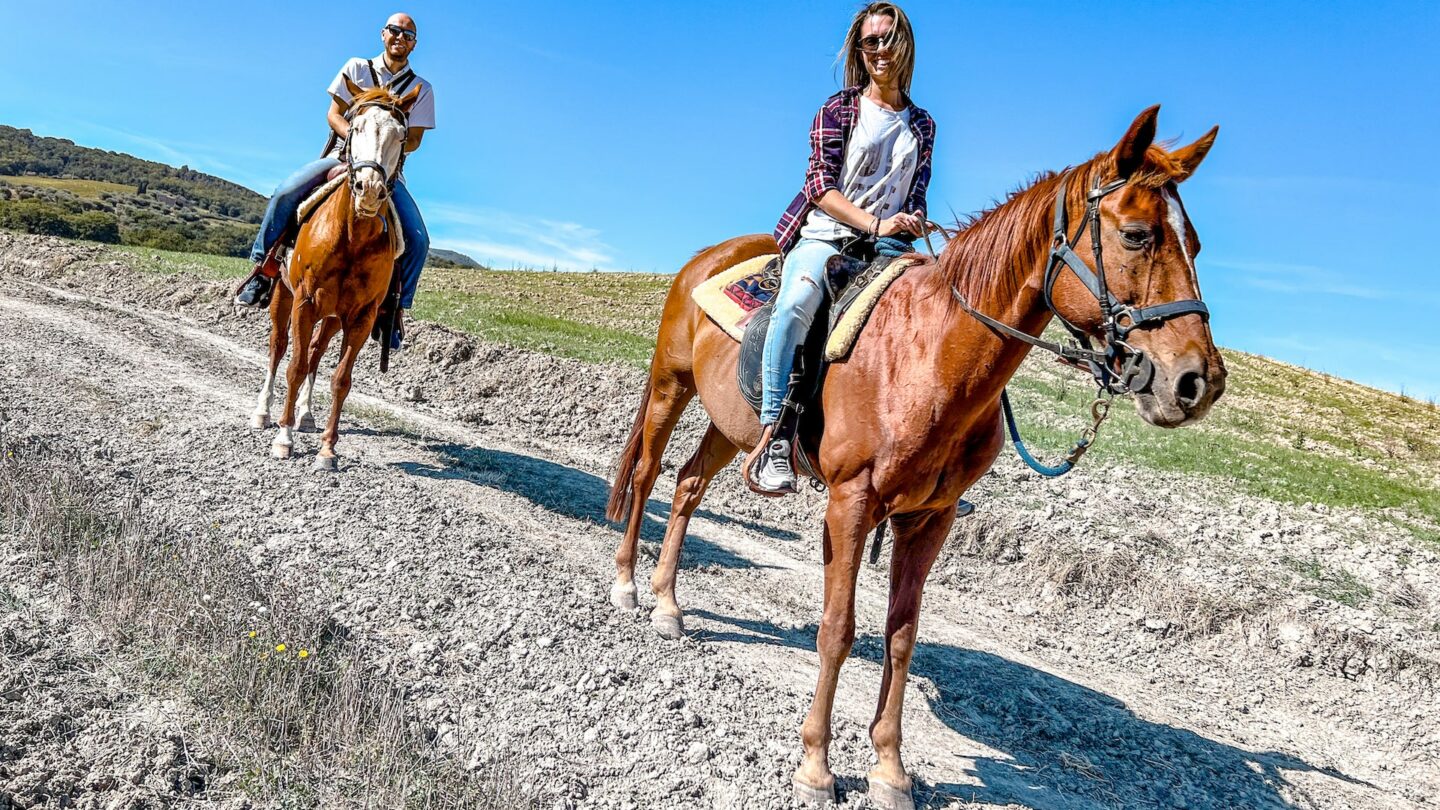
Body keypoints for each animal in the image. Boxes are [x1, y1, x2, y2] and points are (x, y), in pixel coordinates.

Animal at [246, 82, 417, 466]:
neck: (351, 236)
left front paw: (327, 448)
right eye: (355, 126)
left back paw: (307, 415)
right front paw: (284, 437)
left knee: (315, 352)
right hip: (283, 294)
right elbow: (294, 365)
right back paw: (263, 412)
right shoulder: (305, 301)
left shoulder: (361, 316)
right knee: (279, 347)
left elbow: (340, 378)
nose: (369, 190)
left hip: (334, 316)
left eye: (400, 136)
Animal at [604, 108, 1226, 807]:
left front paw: (889, 768)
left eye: (1196, 244)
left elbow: (902, 637)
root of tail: (705, 258)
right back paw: (628, 585)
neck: (930, 356)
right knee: (649, 473)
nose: (1197, 382)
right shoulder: (850, 502)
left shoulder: (931, 518)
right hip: (670, 386)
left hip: (730, 424)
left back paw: (667, 605)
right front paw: (816, 765)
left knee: (687, 485)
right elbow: (838, 628)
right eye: (1138, 235)